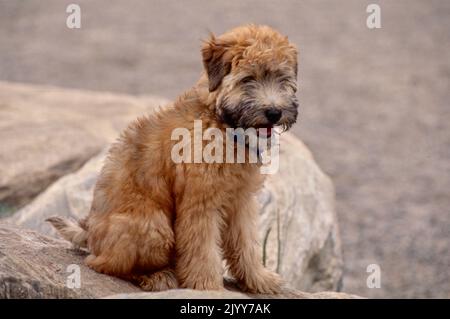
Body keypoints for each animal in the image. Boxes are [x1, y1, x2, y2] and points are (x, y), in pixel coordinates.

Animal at [47, 25, 298, 296]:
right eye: (248, 79)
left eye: (282, 78)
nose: (274, 112)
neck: (219, 120)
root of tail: (90, 234)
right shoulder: (201, 204)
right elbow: (202, 250)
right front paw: (208, 287)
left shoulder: (241, 201)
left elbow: (247, 244)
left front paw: (259, 279)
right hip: (153, 227)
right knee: (103, 264)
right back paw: (157, 276)